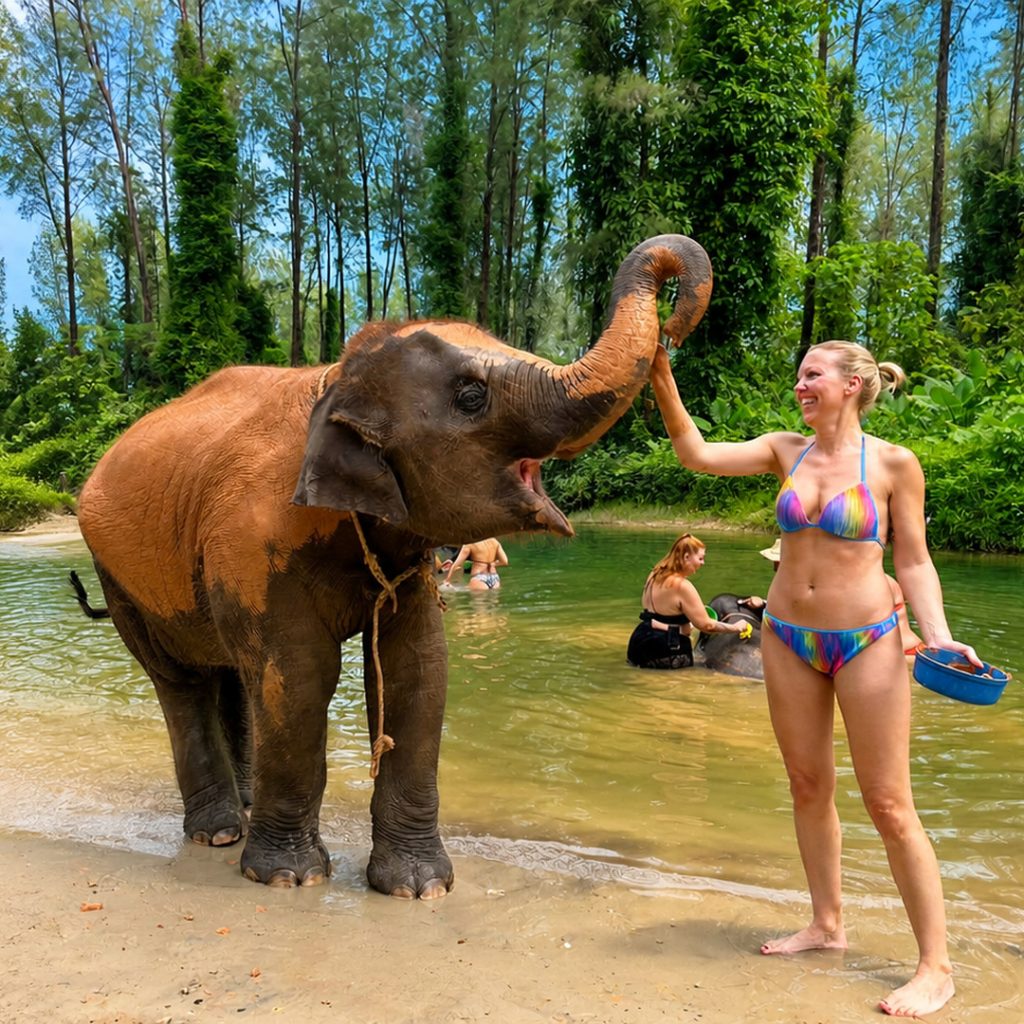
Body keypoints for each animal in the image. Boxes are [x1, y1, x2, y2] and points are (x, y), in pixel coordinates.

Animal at [74, 234, 713, 899]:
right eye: (471, 396)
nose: (672, 332)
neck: (335, 378)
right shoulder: (251, 542)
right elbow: (299, 677)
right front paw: (290, 879)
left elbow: (419, 672)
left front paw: (418, 888)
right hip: (117, 576)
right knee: (183, 682)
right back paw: (221, 833)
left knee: (234, 675)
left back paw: (246, 810)